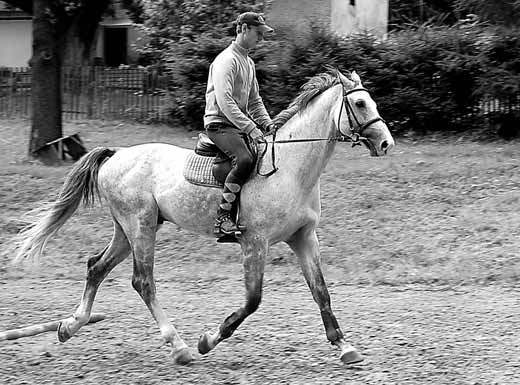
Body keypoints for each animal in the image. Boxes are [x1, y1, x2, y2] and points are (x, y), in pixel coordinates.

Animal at [12, 67, 394, 364]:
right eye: (360, 103)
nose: (386, 143)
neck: (290, 168)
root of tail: (116, 154)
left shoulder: (303, 237)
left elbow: (321, 292)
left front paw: (344, 346)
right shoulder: (254, 242)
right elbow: (252, 301)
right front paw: (208, 340)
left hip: (127, 230)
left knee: (96, 267)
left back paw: (70, 326)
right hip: (141, 226)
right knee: (143, 281)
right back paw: (179, 346)